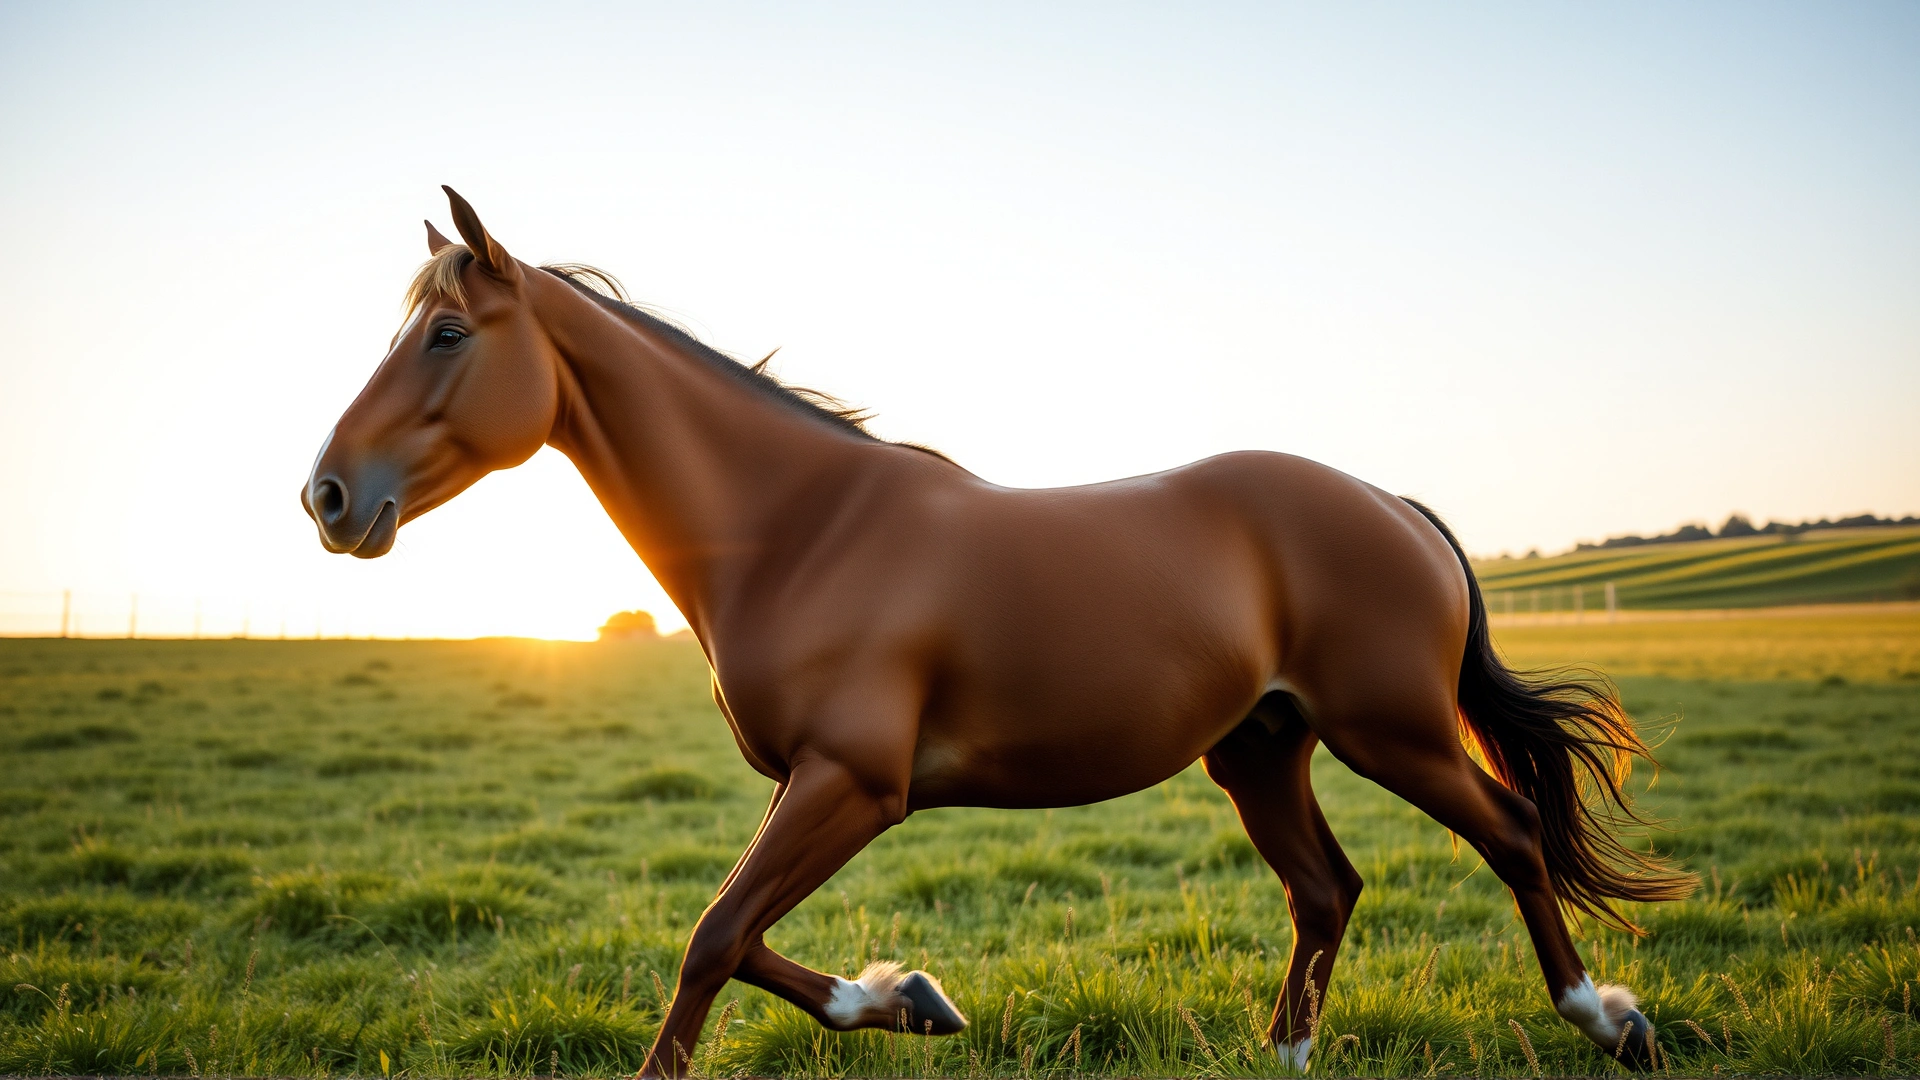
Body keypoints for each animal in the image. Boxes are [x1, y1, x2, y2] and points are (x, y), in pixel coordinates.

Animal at [303, 187, 1691, 1076]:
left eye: (445, 333)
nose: (327, 497)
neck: (804, 528)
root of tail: (1394, 507)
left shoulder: (853, 785)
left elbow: (712, 942)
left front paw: (900, 996)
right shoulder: (811, 785)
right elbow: (743, 943)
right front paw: (912, 998)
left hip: (1391, 731)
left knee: (1510, 836)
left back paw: (1607, 1020)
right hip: (1259, 750)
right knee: (1327, 888)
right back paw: (1291, 1052)